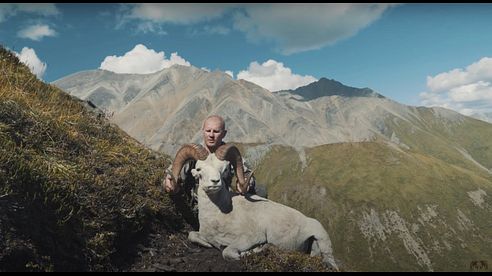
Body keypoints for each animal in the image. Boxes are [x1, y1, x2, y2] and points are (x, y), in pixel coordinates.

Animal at [170, 143, 338, 268]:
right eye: (199, 169)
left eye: (224, 169)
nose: (215, 182)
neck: (220, 215)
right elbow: (192, 235)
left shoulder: (249, 238)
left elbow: (227, 252)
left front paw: (256, 250)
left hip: (323, 240)